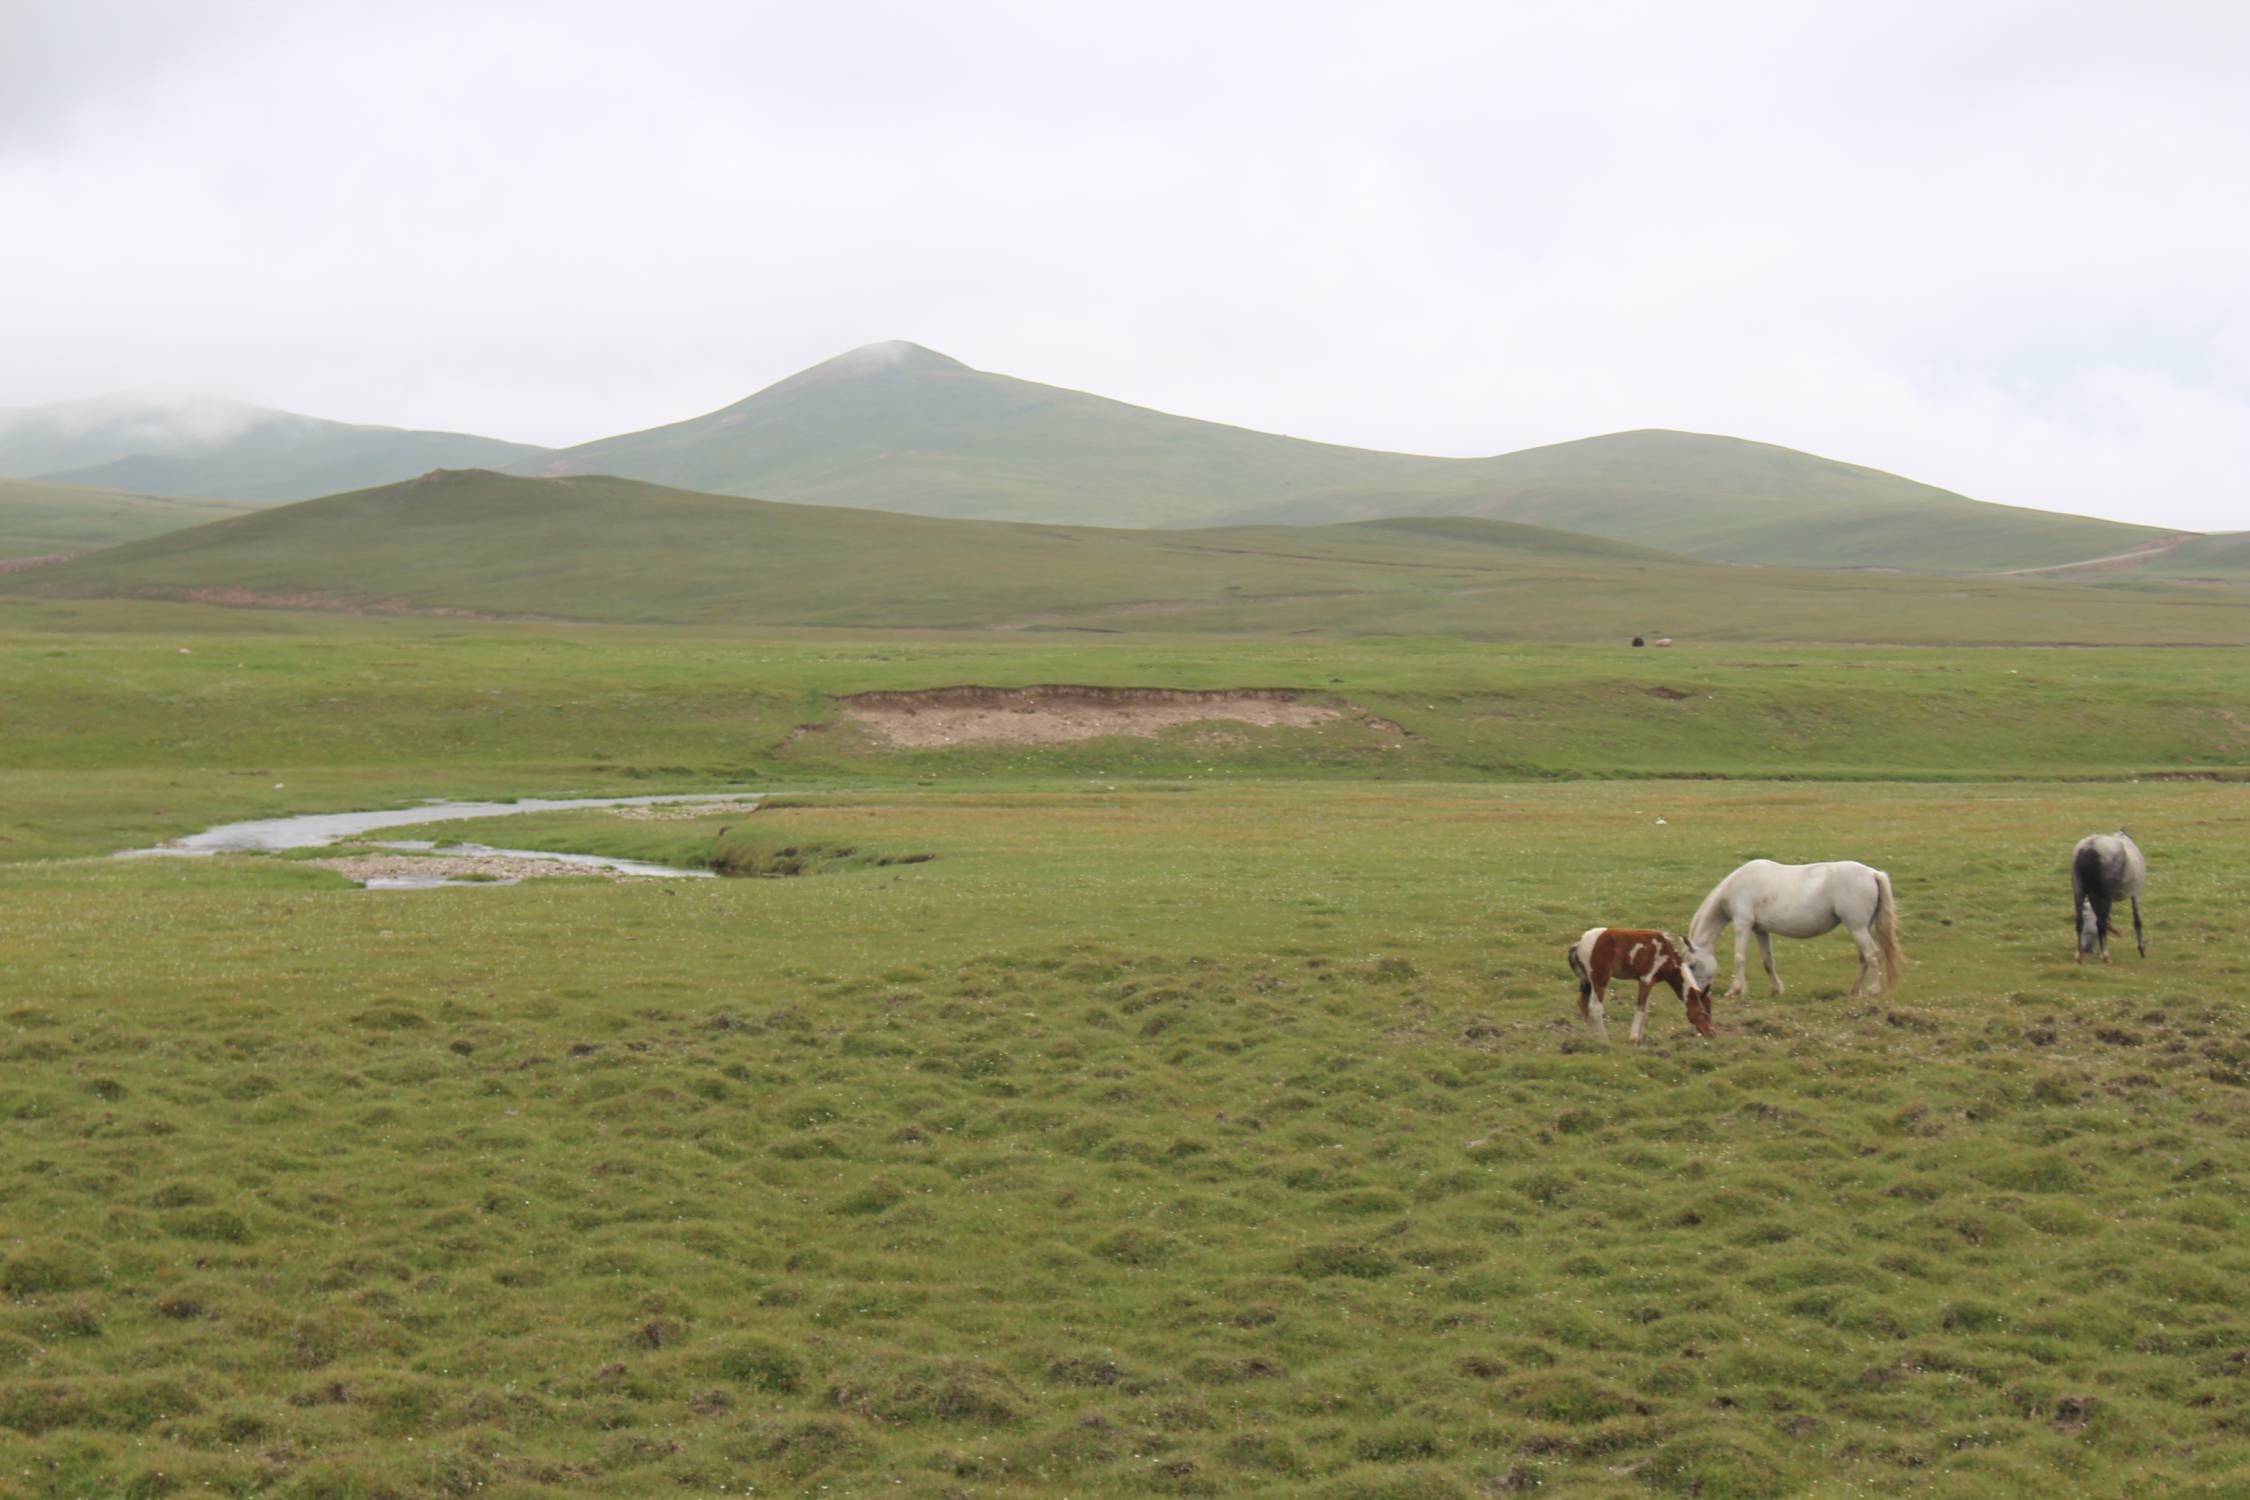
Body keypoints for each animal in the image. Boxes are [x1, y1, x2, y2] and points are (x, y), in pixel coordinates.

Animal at [1566, 927, 1718, 1042]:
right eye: (1704, 1012)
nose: (1712, 1033)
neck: (1667, 954)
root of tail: (1579, 944)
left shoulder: (1651, 982)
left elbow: (1645, 1010)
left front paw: (1639, 1039)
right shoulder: (1646, 980)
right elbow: (1640, 1008)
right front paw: (1633, 1039)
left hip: (1586, 981)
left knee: (1582, 1003)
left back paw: (1594, 1038)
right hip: (1599, 979)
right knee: (1595, 1008)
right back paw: (1604, 1040)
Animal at [1689, 859, 1904, 999]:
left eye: (1692, 965)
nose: (1696, 993)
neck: (1739, 884)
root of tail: (1873, 874)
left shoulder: (1743, 923)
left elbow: (1739, 958)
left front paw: (1735, 990)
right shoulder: (1760, 930)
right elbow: (1768, 961)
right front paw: (1775, 989)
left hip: (1857, 927)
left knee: (1871, 954)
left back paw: (1873, 991)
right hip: (1861, 928)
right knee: (1863, 958)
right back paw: (1853, 991)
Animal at [2071, 831, 2146, 962]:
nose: (2087, 949)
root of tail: (2089, 847)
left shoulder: (2093, 896)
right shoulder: (2135, 892)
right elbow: (2137, 921)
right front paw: (2141, 949)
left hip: (2079, 889)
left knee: (2079, 921)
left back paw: (2079, 956)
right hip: (2106, 896)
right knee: (2101, 922)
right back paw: (2105, 955)